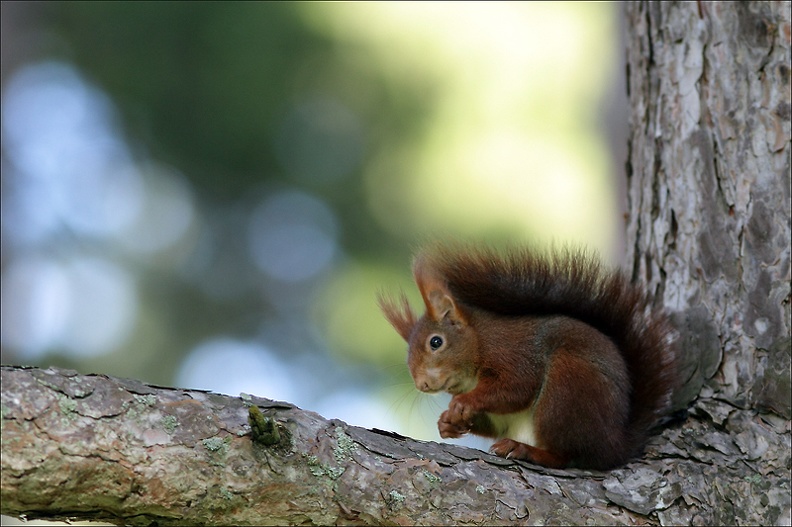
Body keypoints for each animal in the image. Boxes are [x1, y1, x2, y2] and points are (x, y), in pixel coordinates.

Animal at [380, 245, 676, 472]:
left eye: (436, 342)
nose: (421, 385)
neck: (480, 342)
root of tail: (616, 445)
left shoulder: (514, 353)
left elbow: (517, 388)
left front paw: (464, 402)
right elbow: (494, 421)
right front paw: (448, 423)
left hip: (567, 387)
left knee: (566, 455)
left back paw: (525, 450)